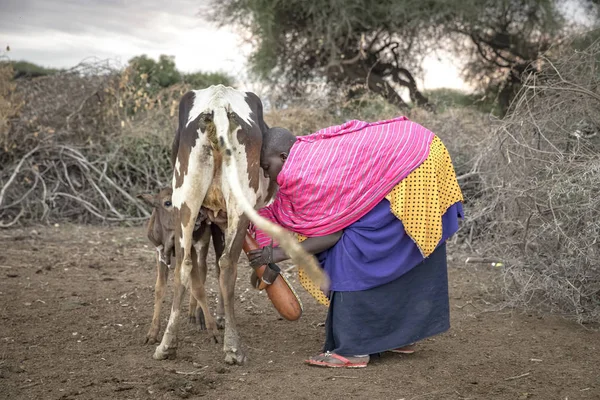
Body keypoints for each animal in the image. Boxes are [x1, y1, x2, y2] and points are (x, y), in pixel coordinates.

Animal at [152, 85, 326, 366]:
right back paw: (232, 348)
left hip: (185, 202)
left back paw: (167, 344)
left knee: (185, 266)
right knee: (226, 265)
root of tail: (218, 103)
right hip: (236, 204)